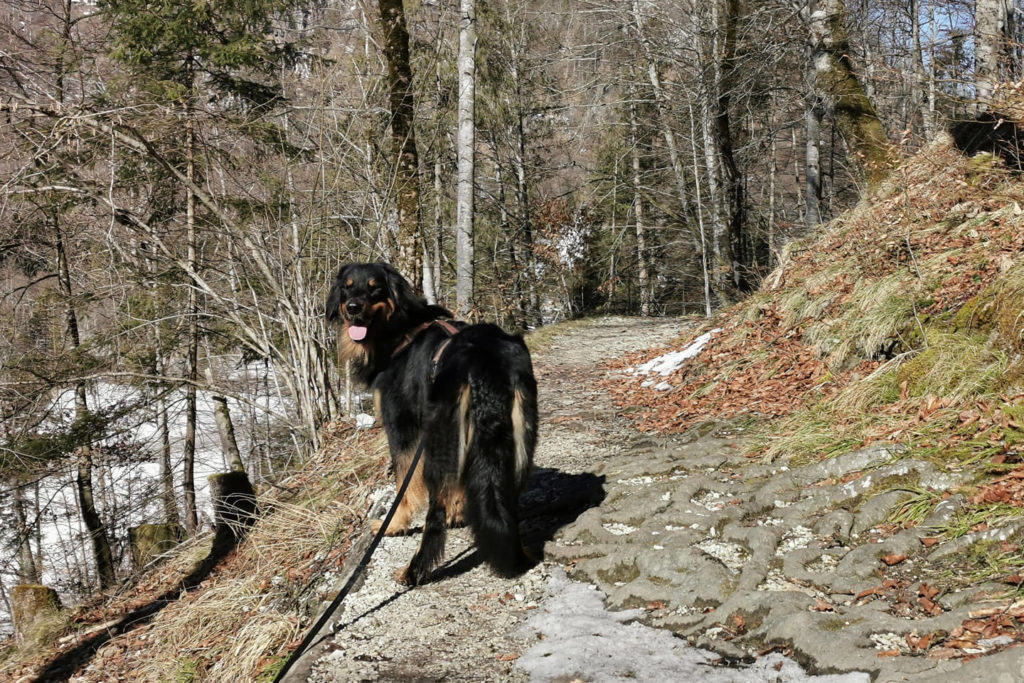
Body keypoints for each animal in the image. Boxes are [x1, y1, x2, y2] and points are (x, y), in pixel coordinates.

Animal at [326, 262, 538, 585]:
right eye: (347, 287)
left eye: (375, 288)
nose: (352, 308)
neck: (399, 331)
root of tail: (484, 360)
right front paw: (458, 513)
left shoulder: (403, 429)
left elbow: (403, 485)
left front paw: (394, 524)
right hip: (520, 441)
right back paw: (519, 554)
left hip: (439, 442)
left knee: (433, 517)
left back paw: (414, 571)